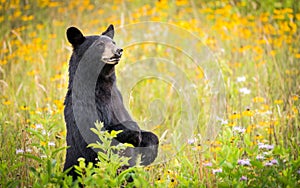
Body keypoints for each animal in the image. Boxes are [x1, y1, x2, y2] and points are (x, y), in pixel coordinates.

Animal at [63, 25, 159, 179]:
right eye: (100, 45)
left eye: (113, 42)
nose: (118, 50)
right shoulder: (86, 105)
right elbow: (96, 134)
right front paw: (135, 133)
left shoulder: (117, 100)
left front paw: (148, 153)